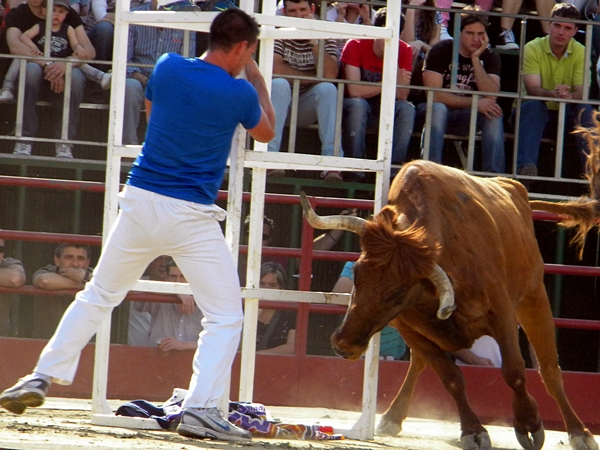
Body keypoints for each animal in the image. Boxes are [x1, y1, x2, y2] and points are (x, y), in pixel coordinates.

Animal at [302, 155, 600, 450]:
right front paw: (473, 431)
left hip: (533, 297)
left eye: (396, 295)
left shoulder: (501, 312)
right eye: (357, 274)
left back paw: (579, 432)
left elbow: (514, 370)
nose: (343, 344)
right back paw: (393, 417)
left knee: (550, 370)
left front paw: (529, 424)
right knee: (419, 363)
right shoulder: (409, 328)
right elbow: (451, 377)